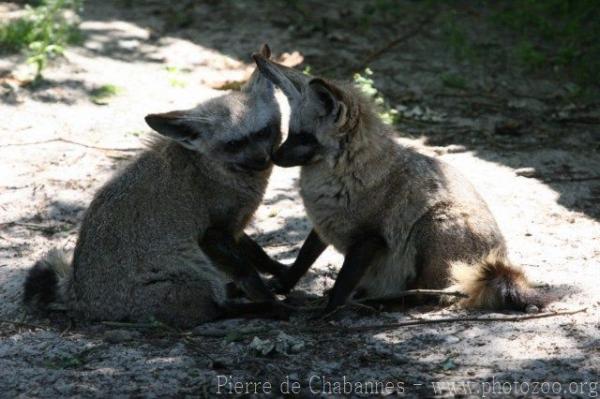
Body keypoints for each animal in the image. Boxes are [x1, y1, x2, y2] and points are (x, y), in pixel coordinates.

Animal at [24, 45, 292, 330]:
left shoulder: (234, 230)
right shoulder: (213, 235)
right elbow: (248, 273)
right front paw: (270, 298)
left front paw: (282, 271)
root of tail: (77, 297)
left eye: (263, 132)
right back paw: (262, 307)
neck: (212, 170)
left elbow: (259, 255)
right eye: (233, 145)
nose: (262, 159)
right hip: (195, 274)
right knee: (217, 310)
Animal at [253, 52, 548, 316]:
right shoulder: (324, 226)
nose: (273, 156)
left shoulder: (369, 240)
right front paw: (283, 285)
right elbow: (302, 260)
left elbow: (342, 283)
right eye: (291, 133)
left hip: (431, 227)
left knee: (428, 296)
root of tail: (500, 256)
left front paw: (328, 312)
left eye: (305, 137)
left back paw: (378, 303)